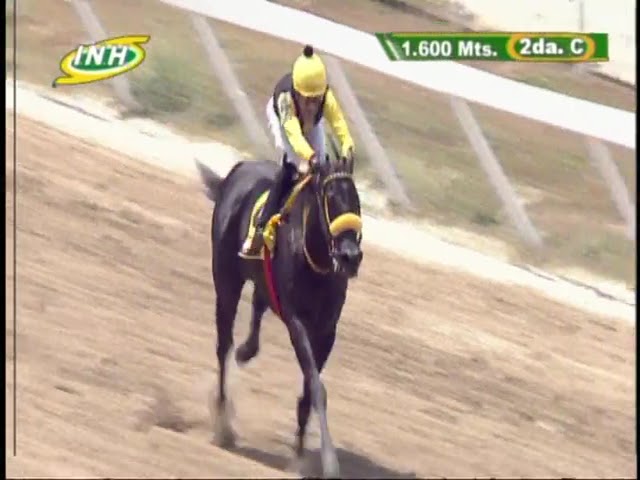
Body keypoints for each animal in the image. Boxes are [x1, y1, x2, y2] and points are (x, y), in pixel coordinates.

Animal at [195, 156, 362, 478]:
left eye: (356, 200)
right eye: (330, 198)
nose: (350, 256)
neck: (316, 260)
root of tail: (236, 171)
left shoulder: (327, 330)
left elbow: (310, 391)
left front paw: (299, 453)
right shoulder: (297, 322)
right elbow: (317, 388)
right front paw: (328, 461)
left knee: (257, 307)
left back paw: (247, 351)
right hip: (226, 282)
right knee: (223, 346)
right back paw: (223, 423)